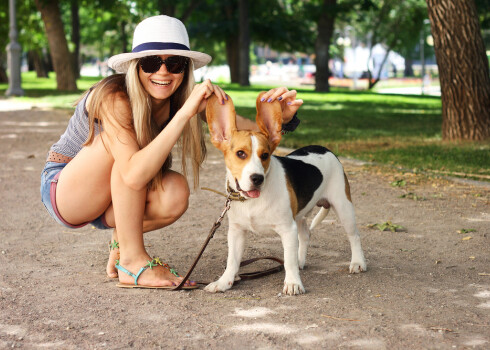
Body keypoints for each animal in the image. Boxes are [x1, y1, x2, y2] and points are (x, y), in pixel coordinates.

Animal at [204, 93, 368, 296]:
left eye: (265, 155)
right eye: (240, 153)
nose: (257, 178)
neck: (253, 201)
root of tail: (325, 149)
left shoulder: (287, 229)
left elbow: (288, 260)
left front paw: (292, 283)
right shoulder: (236, 231)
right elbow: (232, 261)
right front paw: (224, 281)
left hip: (343, 207)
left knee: (354, 236)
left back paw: (358, 262)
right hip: (299, 214)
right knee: (305, 235)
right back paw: (301, 261)